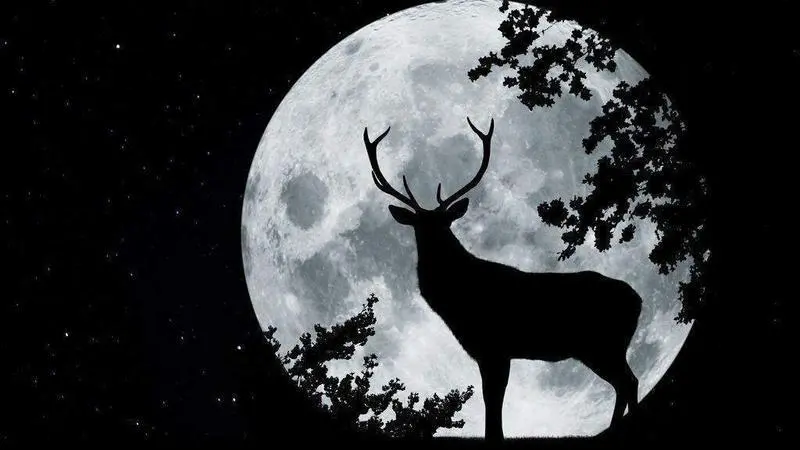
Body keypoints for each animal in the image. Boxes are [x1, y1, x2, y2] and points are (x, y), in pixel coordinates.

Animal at [362, 117, 642, 441]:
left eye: (445, 222)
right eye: (419, 226)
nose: (434, 241)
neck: (458, 298)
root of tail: (638, 300)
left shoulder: (494, 345)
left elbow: (492, 402)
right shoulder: (489, 350)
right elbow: (492, 401)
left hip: (602, 344)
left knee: (628, 382)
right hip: (603, 348)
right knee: (626, 383)